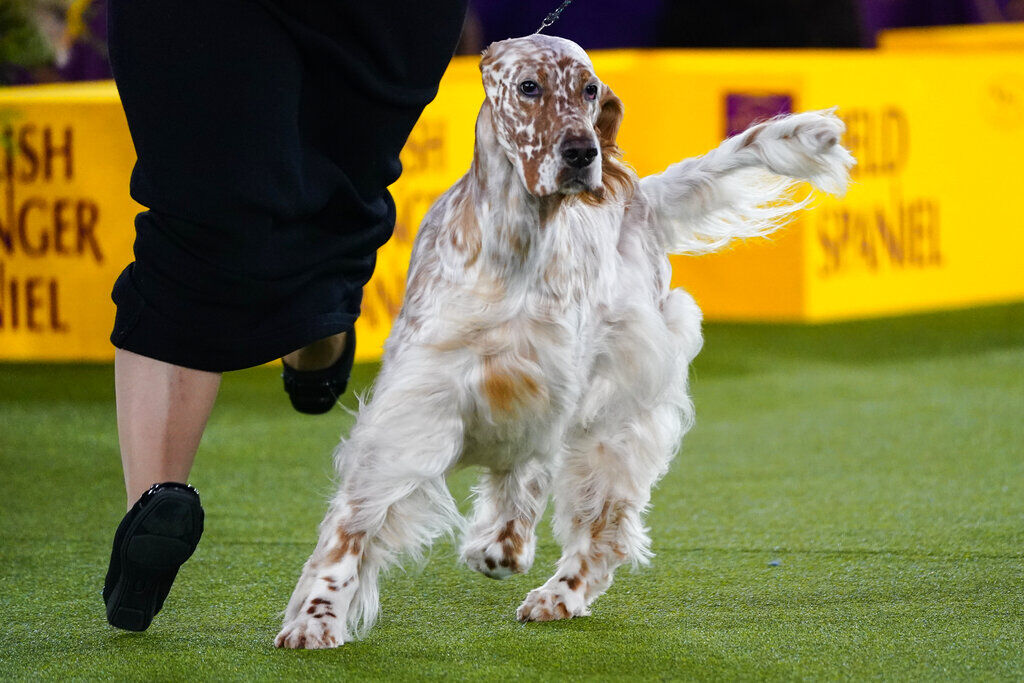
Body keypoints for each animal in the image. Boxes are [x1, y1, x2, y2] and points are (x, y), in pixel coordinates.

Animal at [274, 34, 856, 651]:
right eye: (529, 87)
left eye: (589, 90)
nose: (583, 153)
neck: (514, 249)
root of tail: (640, 198)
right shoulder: (417, 401)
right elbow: (353, 525)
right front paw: (316, 619)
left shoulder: (555, 392)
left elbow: (525, 486)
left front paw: (498, 549)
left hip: (619, 406)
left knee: (605, 521)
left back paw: (559, 593)